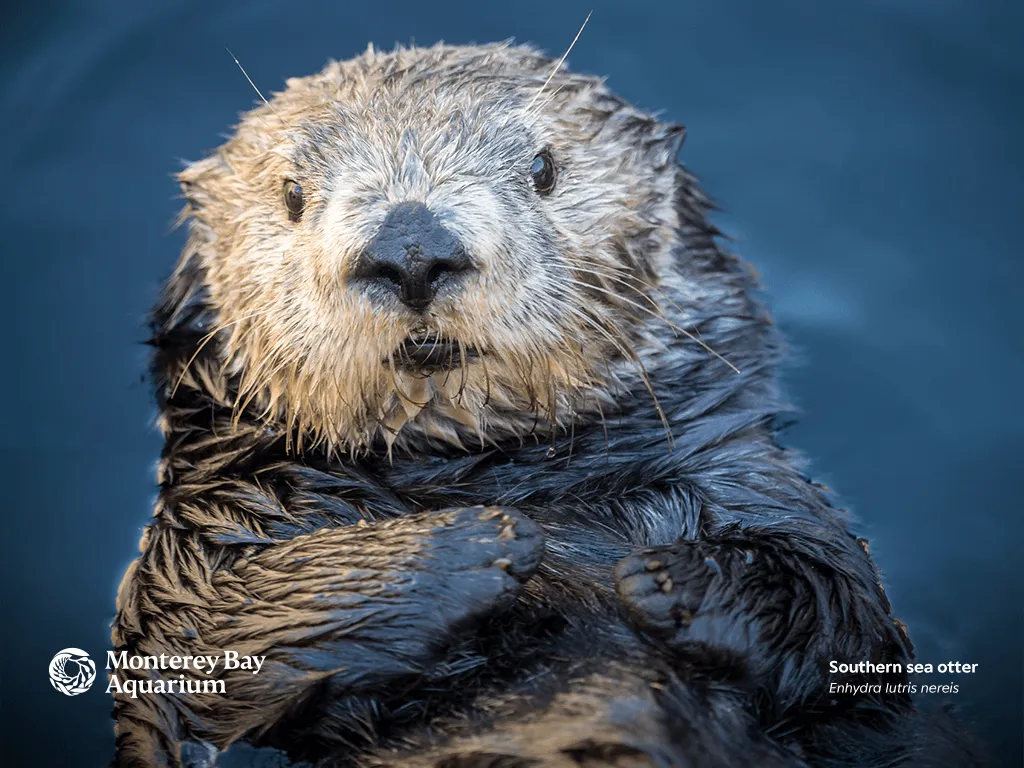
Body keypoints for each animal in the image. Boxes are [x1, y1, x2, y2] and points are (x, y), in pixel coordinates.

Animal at [112, 42, 979, 767]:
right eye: (292, 192)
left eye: (543, 166)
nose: (412, 249)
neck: (493, 471)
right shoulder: (200, 535)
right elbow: (197, 639)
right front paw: (480, 545)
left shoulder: (747, 477)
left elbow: (842, 611)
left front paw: (668, 581)